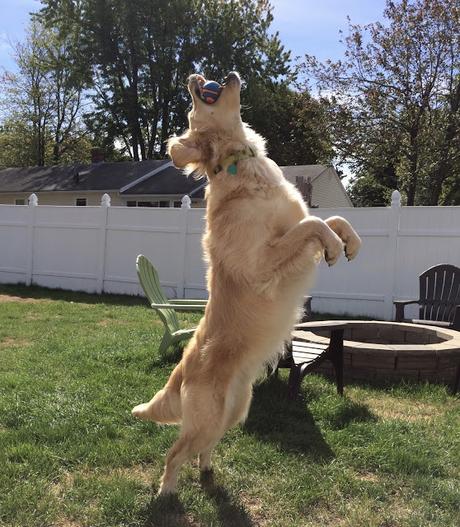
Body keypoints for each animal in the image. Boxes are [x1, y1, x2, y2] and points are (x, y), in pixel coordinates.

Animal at [131, 71, 362, 496]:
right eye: (191, 107)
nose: (193, 76)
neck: (240, 161)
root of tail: (181, 370)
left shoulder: (292, 230)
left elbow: (331, 218)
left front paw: (349, 242)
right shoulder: (263, 262)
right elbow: (314, 223)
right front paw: (335, 246)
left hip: (234, 411)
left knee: (203, 450)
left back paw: (209, 475)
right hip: (207, 417)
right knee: (174, 454)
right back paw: (167, 493)